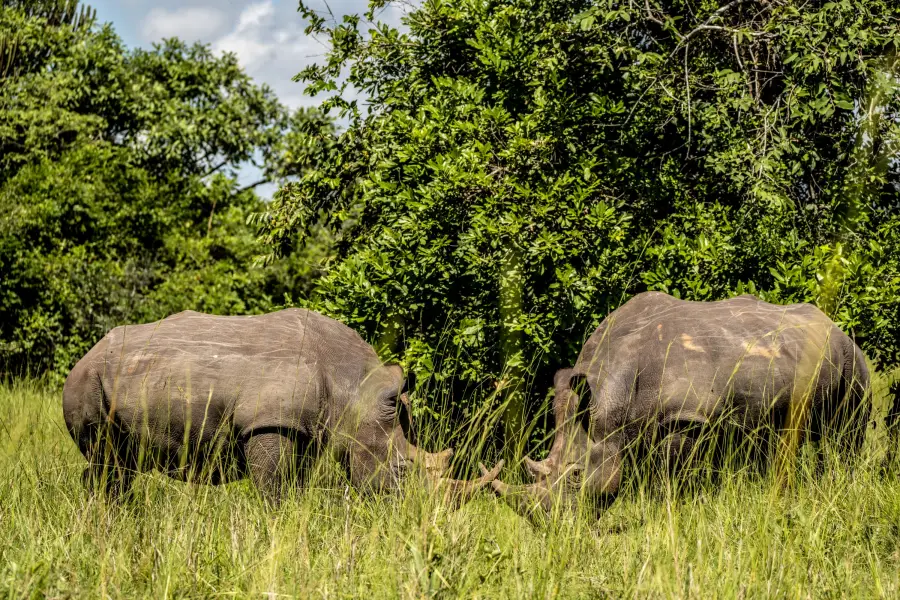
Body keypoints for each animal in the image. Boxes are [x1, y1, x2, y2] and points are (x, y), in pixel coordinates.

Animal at [63, 308, 501, 503]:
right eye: (401, 471)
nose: (415, 513)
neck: (353, 385)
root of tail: (85, 354)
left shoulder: (307, 431)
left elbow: (294, 487)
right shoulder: (271, 421)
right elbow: (273, 490)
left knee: (116, 462)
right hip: (89, 380)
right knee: (107, 458)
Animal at [488, 292, 870, 514]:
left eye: (576, 475)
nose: (547, 523)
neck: (609, 392)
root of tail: (837, 327)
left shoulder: (685, 418)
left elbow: (669, 481)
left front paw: (669, 513)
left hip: (853, 362)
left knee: (846, 435)